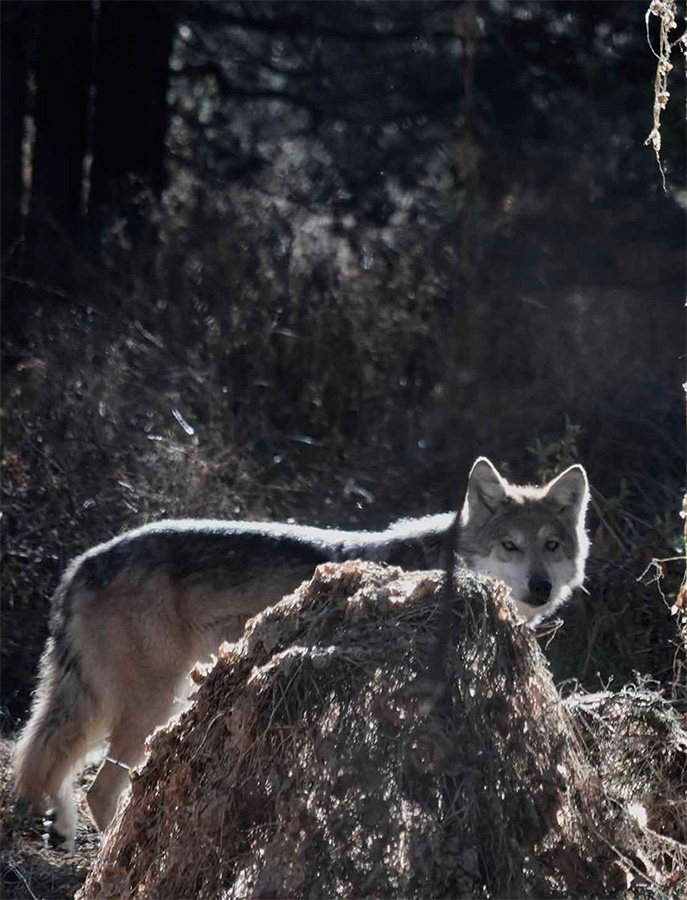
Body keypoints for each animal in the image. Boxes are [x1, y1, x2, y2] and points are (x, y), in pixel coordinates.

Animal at [13, 458, 588, 852]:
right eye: (509, 546)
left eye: (552, 546)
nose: (540, 587)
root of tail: (82, 561)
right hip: (153, 703)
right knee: (98, 790)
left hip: (122, 704)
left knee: (46, 758)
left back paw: (61, 830)